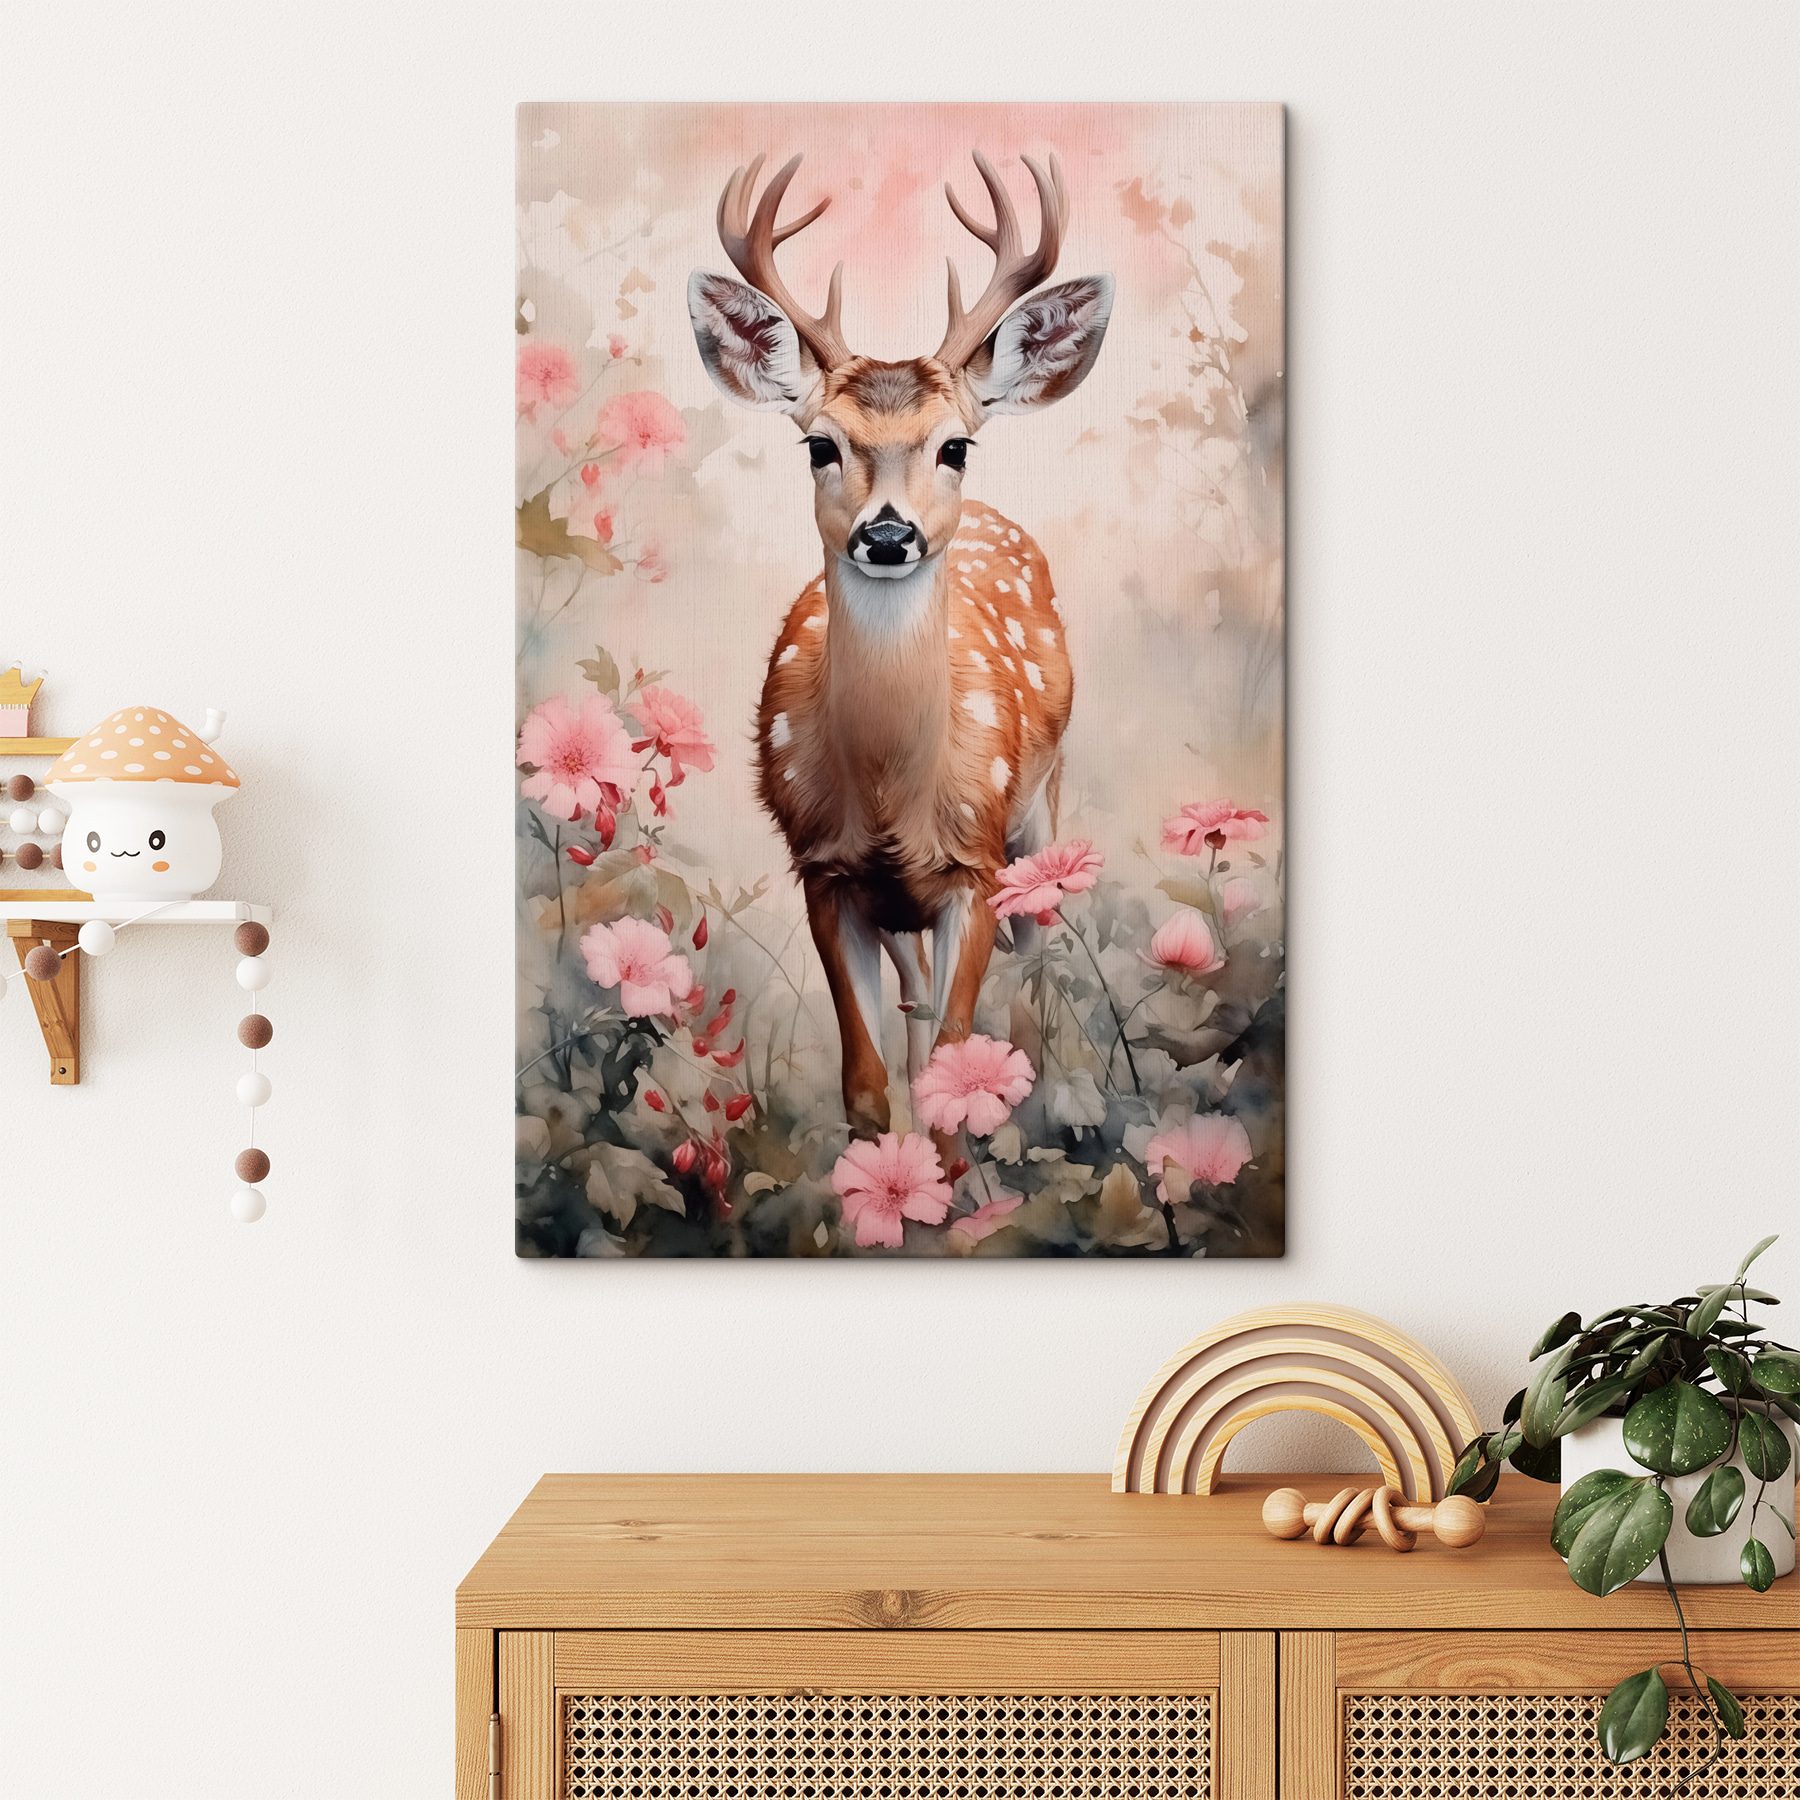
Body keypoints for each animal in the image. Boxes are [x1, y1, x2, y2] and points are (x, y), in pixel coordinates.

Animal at [688, 149, 1112, 1141]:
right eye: (819, 446)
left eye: (955, 445)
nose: (888, 535)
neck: (891, 795)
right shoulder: (825, 871)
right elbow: (869, 1084)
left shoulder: (975, 866)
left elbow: (962, 1066)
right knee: (917, 1005)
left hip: (1042, 807)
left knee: (1040, 956)